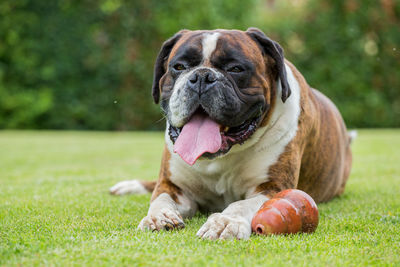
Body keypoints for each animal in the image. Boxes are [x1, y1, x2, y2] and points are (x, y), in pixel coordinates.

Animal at [109, 28, 354, 241]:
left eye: (236, 69)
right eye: (179, 66)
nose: (202, 77)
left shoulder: (272, 187)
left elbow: (241, 204)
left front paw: (225, 222)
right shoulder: (173, 186)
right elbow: (160, 199)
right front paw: (157, 217)